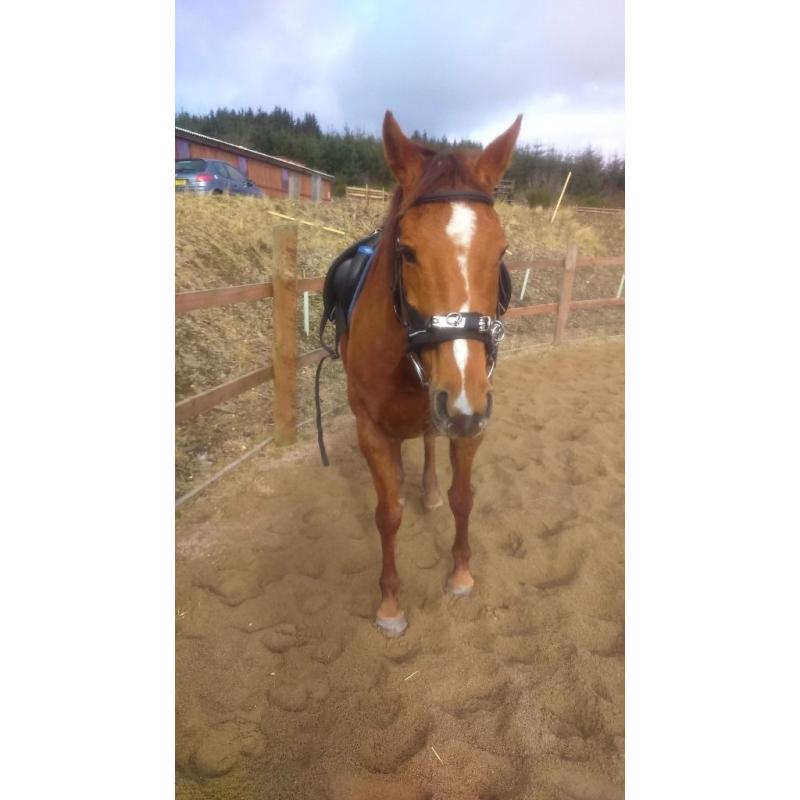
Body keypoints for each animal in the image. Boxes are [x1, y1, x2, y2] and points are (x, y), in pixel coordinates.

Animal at [330, 111, 521, 636]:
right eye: (408, 252)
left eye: (500, 253)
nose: (462, 402)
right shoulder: (372, 431)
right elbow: (388, 514)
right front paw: (390, 603)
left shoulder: (472, 420)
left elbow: (463, 497)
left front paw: (460, 574)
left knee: (433, 441)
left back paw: (429, 488)